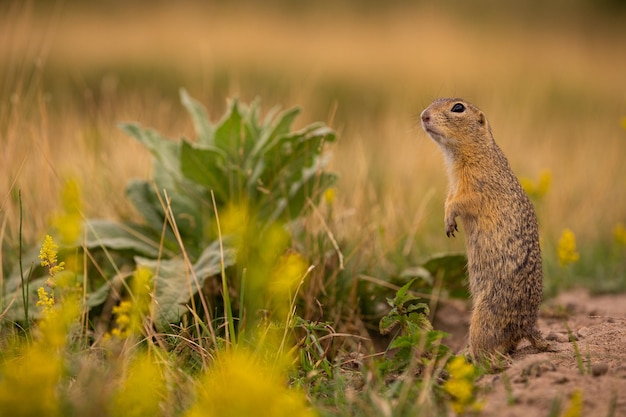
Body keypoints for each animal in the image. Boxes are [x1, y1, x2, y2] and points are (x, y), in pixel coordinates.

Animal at [420, 97, 544, 360]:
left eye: (458, 107)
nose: (424, 115)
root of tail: (529, 325)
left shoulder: (478, 185)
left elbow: (462, 201)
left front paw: (450, 218)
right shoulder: (453, 185)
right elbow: (449, 198)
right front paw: (448, 222)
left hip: (484, 316)